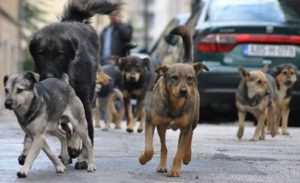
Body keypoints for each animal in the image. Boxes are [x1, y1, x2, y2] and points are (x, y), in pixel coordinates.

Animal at [139, 25, 207, 176]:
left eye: (190, 78)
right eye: (174, 77)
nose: (184, 91)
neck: (175, 104)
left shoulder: (186, 127)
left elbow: (180, 151)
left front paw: (175, 169)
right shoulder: (151, 122)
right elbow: (149, 148)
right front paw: (143, 159)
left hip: (193, 122)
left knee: (189, 139)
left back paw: (186, 157)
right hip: (162, 127)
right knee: (164, 146)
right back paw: (162, 165)